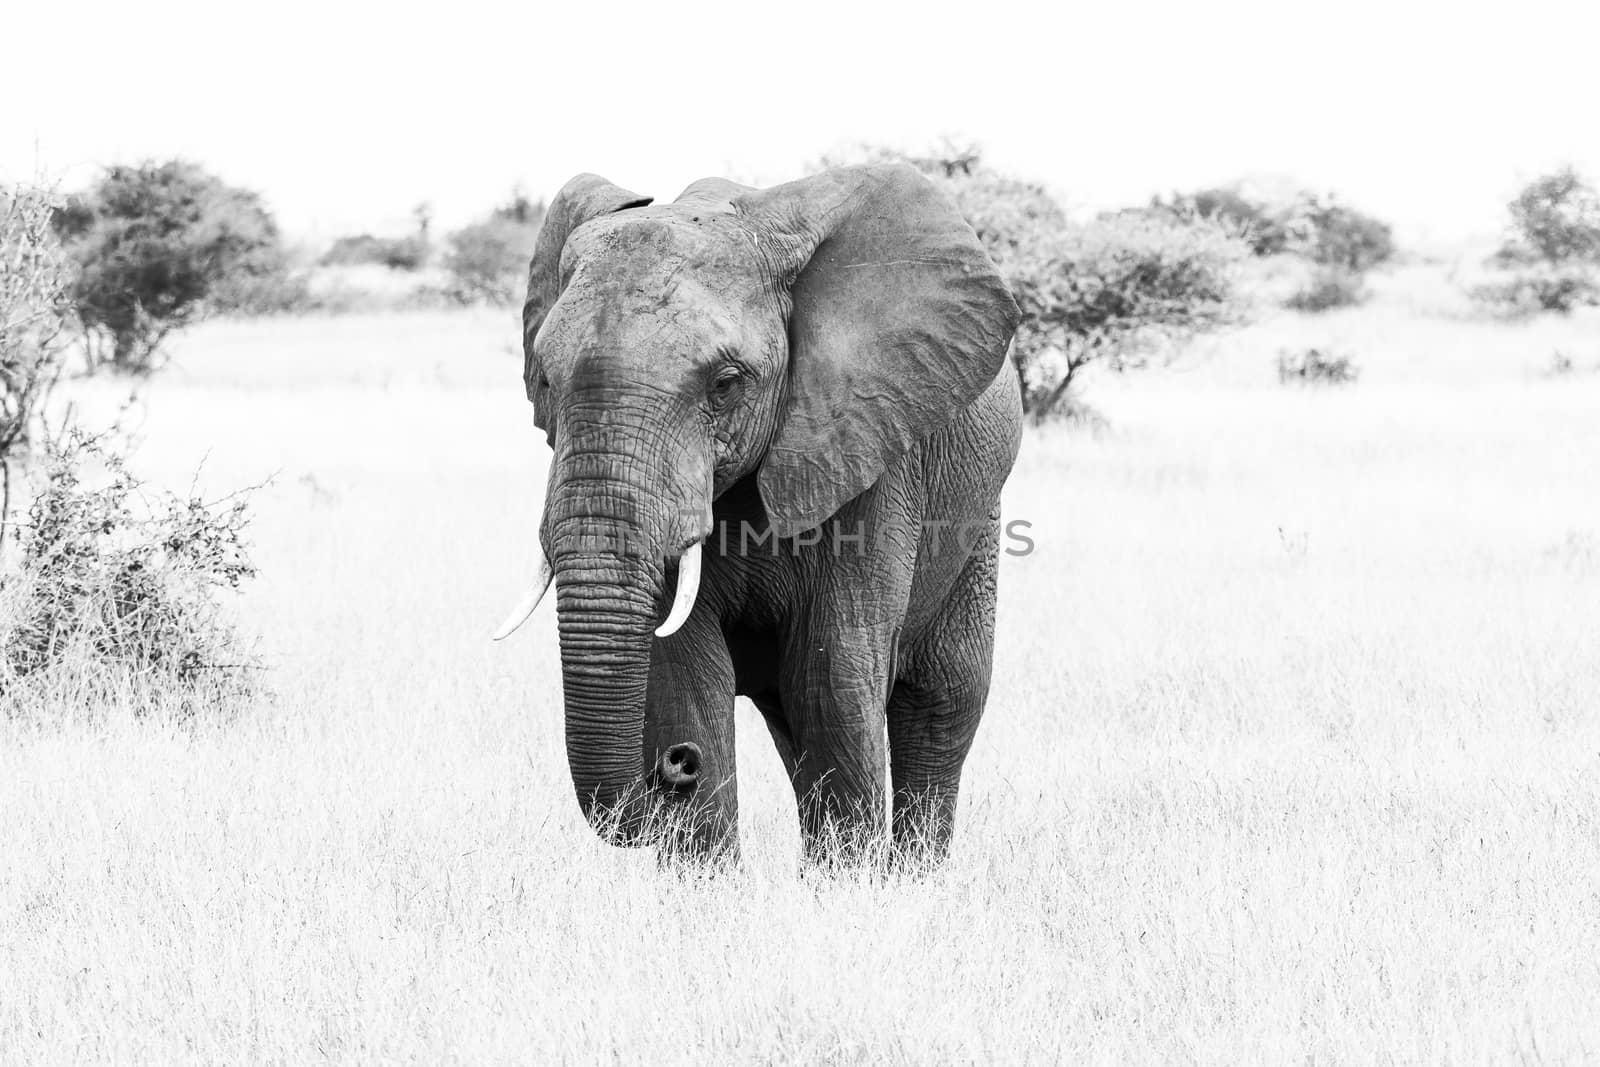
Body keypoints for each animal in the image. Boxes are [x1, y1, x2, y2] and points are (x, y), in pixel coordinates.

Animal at [492, 164, 1024, 870]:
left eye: (724, 384)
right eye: (546, 381)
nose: (674, 767)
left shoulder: (869, 454)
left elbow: (830, 676)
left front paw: (847, 886)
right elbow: (685, 676)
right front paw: (708, 883)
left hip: (979, 517)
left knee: (942, 703)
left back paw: (918, 875)